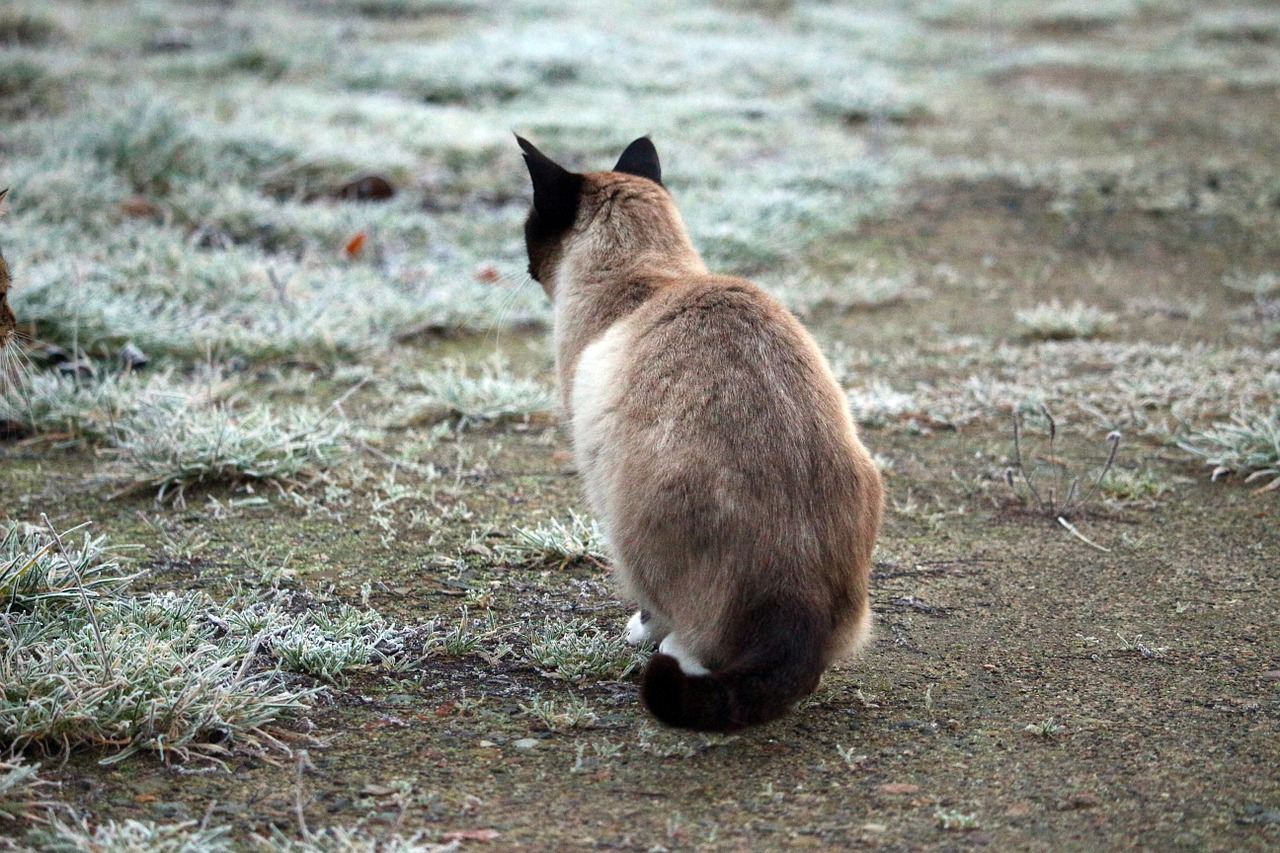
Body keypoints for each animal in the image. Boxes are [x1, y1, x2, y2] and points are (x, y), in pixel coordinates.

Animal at [514, 136, 885, 727]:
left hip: (626, 510)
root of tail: (795, 600)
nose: (523, 263)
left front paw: (638, 630)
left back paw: (666, 647)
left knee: (684, 633)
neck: (648, 276)